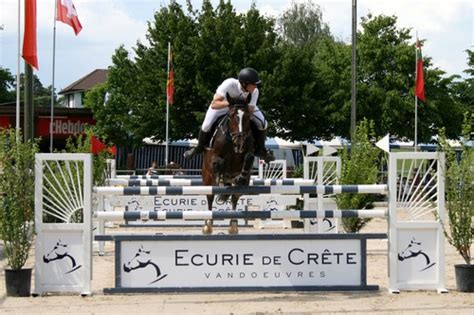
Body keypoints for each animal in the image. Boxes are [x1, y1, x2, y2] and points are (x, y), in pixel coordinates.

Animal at [202, 92, 258, 233]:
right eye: (232, 116)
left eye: (247, 116)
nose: (239, 142)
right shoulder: (215, 157)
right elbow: (219, 163)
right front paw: (221, 178)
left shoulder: (248, 152)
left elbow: (249, 157)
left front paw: (240, 177)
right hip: (207, 178)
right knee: (210, 196)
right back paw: (208, 226)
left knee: (235, 197)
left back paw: (233, 226)